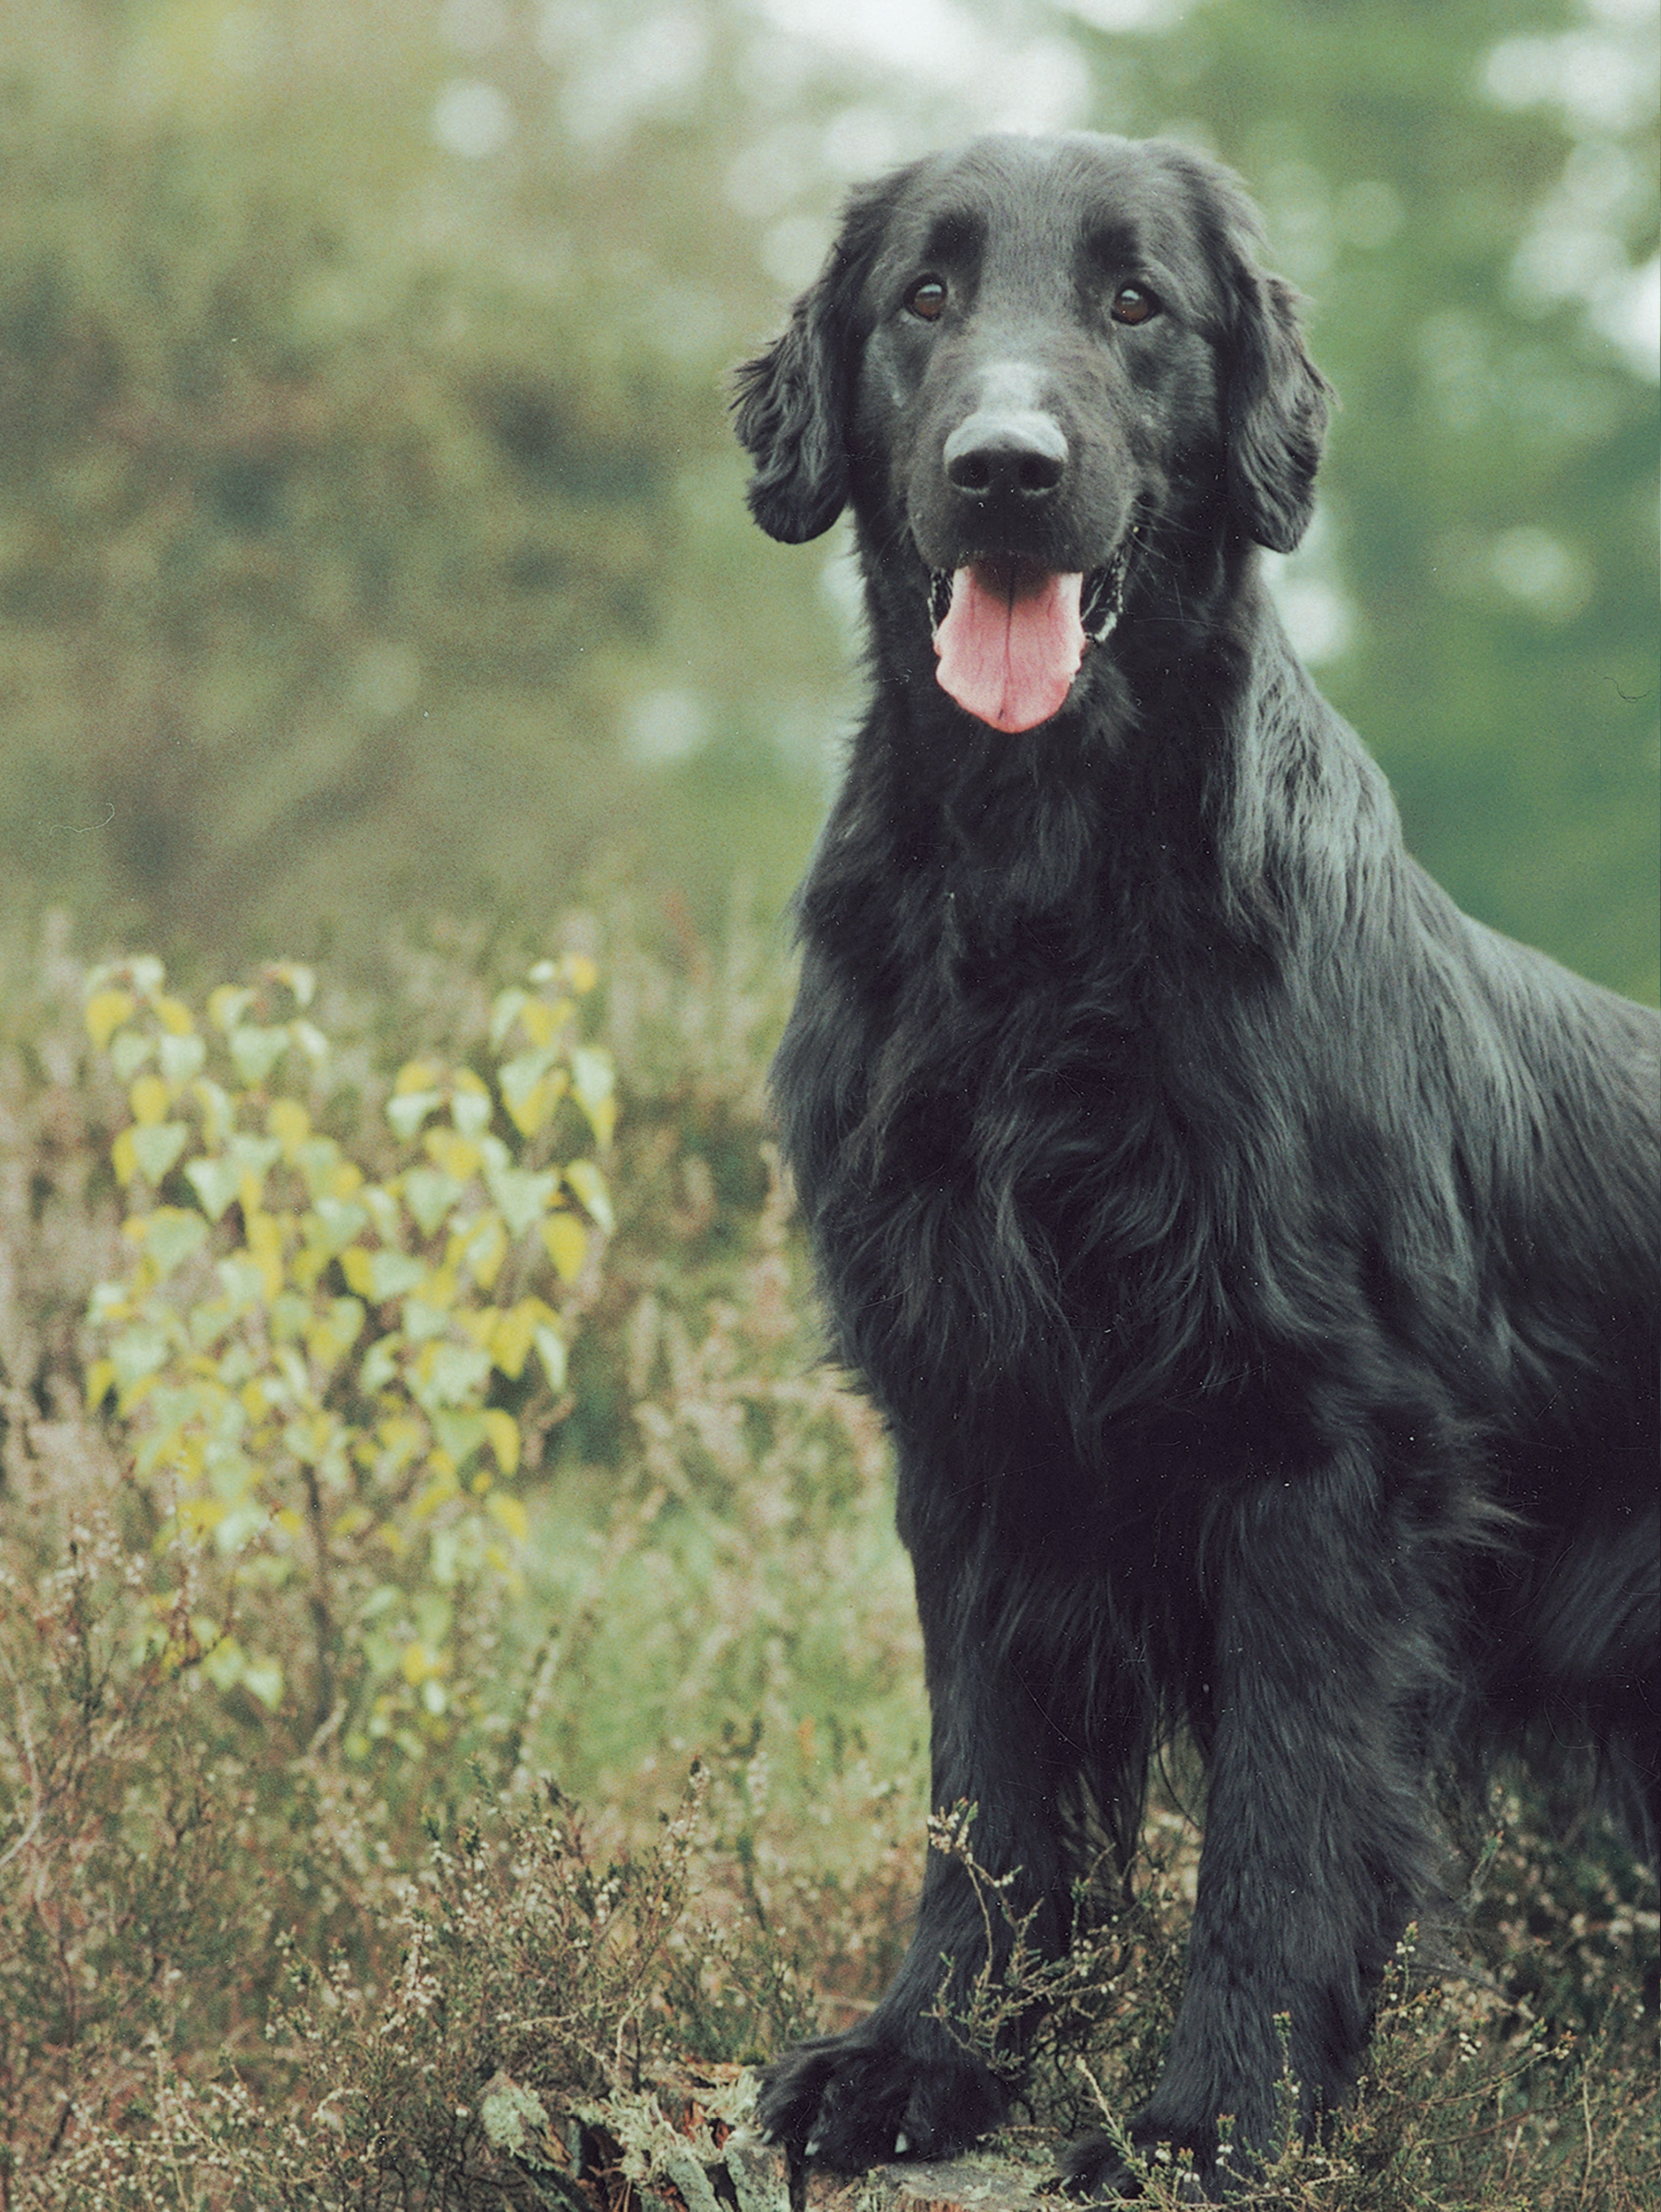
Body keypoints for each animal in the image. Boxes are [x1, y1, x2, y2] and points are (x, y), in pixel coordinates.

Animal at [734, 133, 1654, 2194]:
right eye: (923, 296)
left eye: (1136, 301)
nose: (1004, 466)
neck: (1041, 891)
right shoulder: (969, 1419)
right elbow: (988, 1797)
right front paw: (927, 2056)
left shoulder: (1326, 1454)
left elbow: (1282, 1823)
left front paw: (1212, 2116)